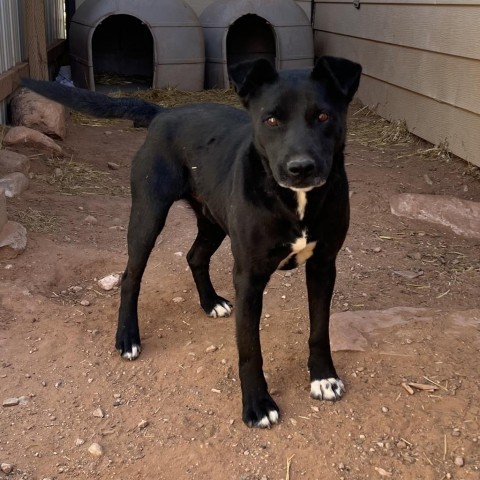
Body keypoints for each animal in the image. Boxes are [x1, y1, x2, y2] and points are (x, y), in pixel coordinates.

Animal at [22, 56, 360, 428]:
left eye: (323, 116)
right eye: (271, 120)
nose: (300, 168)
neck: (295, 201)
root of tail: (162, 113)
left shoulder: (323, 265)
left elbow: (319, 329)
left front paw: (324, 377)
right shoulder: (250, 277)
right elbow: (249, 350)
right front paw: (257, 404)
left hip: (213, 221)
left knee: (195, 256)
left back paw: (210, 301)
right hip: (148, 216)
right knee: (130, 276)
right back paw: (127, 337)